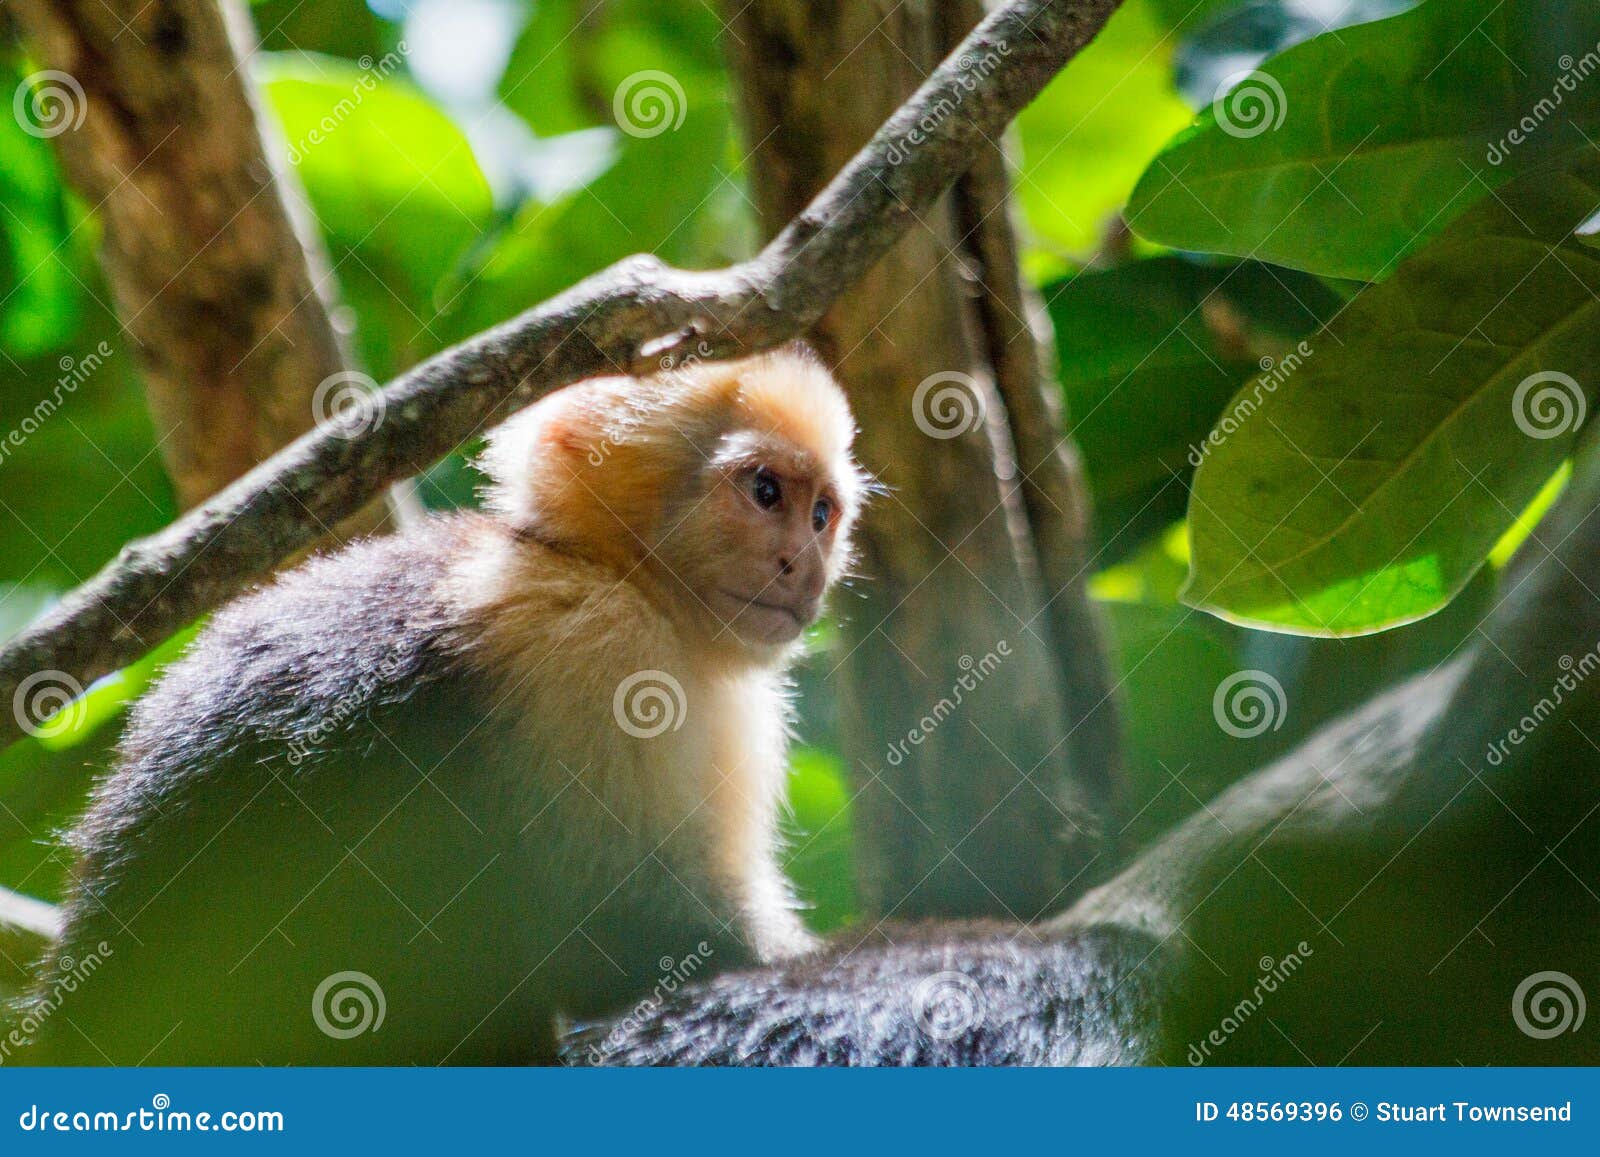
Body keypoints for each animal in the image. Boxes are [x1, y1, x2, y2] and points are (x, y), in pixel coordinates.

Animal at [15, 345, 864, 1068]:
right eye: (765, 493)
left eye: (822, 514)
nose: (804, 564)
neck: (608, 570)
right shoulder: (592, 648)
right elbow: (625, 936)